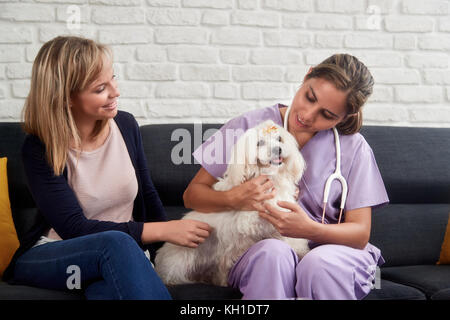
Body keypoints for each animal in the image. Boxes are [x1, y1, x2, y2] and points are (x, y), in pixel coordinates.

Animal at [155, 120, 310, 288]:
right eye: (260, 143)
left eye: (279, 139)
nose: (278, 149)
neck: (269, 176)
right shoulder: (248, 224)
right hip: (181, 260)